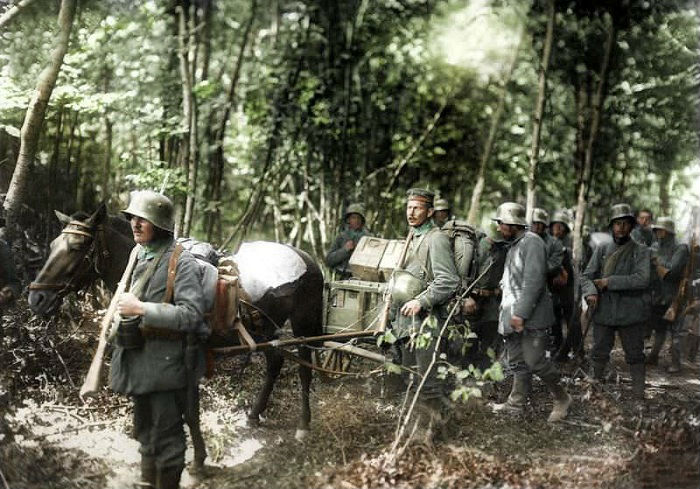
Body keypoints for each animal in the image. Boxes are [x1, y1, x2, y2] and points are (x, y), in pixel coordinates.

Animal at [29, 204, 326, 464]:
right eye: (53, 245)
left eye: (77, 248)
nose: (36, 298)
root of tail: (309, 260)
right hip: (266, 331)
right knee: (276, 362)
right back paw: (254, 415)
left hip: (303, 324)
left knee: (304, 367)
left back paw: (303, 424)